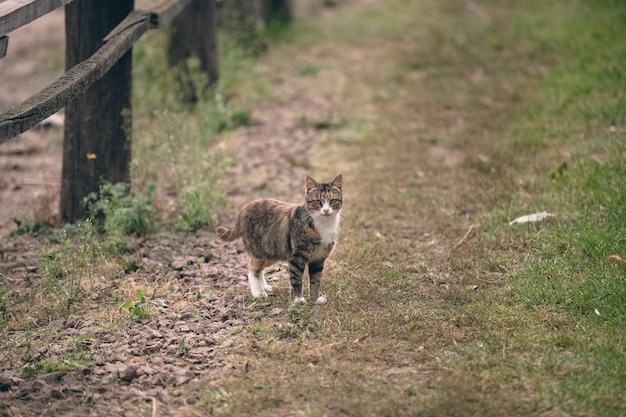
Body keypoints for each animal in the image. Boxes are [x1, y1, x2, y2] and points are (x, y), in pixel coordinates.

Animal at [214, 174, 342, 304]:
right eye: (317, 201)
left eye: (333, 201)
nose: (326, 210)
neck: (324, 224)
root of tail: (244, 208)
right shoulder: (297, 256)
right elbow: (296, 279)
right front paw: (298, 299)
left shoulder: (319, 258)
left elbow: (316, 280)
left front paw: (315, 299)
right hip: (258, 251)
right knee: (252, 270)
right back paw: (258, 292)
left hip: (271, 251)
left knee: (260, 269)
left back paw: (264, 287)